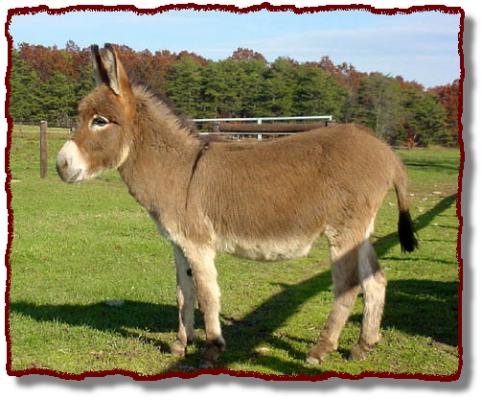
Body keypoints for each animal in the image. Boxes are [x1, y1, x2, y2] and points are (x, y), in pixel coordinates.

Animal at [56, 44, 417, 366]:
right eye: (81, 116)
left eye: (100, 121)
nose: (61, 165)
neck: (178, 169)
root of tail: (386, 152)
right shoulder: (178, 244)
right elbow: (183, 293)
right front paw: (180, 344)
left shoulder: (198, 243)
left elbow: (207, 294)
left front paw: (212, 348)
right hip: (361, 231)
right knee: (375, 281)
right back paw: (363, 345)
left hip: (343, 232)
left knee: (346, 287)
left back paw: (321, 350)